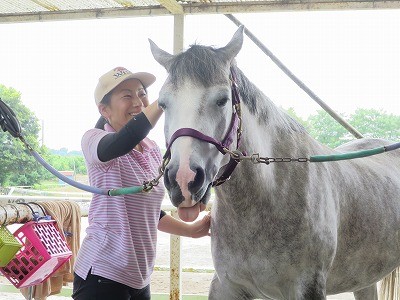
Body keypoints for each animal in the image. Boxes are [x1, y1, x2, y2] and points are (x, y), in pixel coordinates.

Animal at [149, 26, 400, 300]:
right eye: (162, 103)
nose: (184, 180)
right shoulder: (227, 285)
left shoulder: (307, 288)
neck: (272, 193)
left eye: (222, 99)